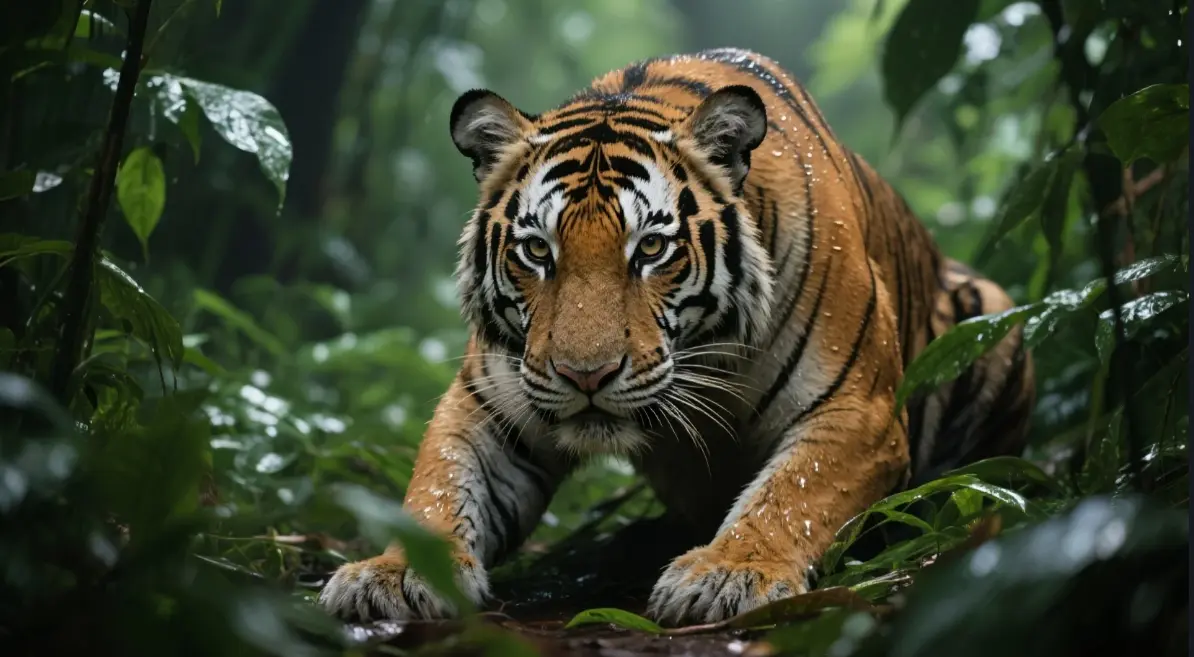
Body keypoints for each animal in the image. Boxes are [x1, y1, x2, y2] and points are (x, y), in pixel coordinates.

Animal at [317, 47, 1035, 626]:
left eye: (651, 249)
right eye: (536, 250)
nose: (585, 375)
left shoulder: (858, 411)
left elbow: (792, 494)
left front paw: (728, 574)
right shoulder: (487, 402)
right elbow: (437, 489)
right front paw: (395, 574)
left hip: (994, 319)